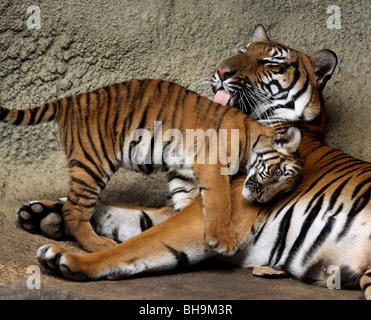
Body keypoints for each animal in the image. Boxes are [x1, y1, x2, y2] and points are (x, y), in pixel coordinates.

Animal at [16, 25, 370, 300]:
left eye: (271, 61)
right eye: (242, 50)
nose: (223, 71)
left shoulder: (208, 210)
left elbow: (138, 242)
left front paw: (69, 258)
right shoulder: (187, 201)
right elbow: (131, 216)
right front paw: (43, 213)